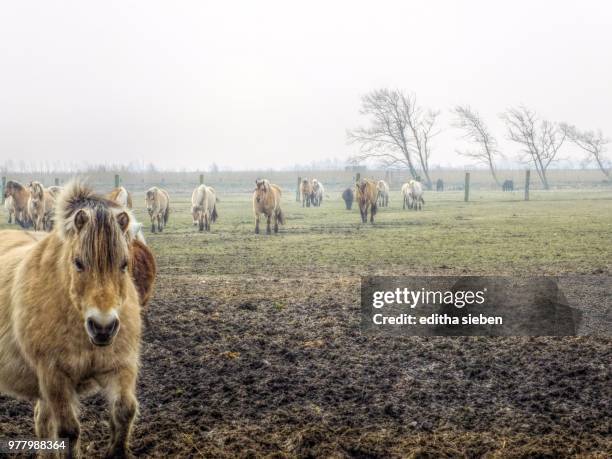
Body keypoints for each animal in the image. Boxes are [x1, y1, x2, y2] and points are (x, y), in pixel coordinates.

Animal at [0, 182, 155, 459]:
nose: (103, 327)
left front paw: (116, 452)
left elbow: (125, 410)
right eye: (78, 262)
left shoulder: (121, 365)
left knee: (42, 422)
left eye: (124, 264)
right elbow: (68, 431)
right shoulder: (54, 377)